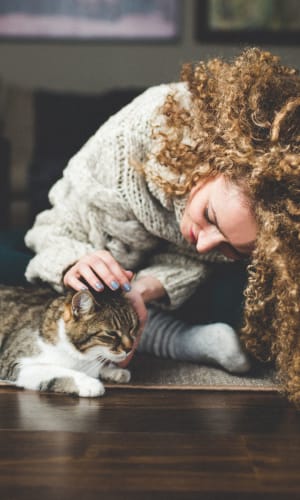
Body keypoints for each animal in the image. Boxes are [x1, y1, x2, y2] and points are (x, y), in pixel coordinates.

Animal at [0, 286, 139, 398]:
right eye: (111, 333)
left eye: (132, 328)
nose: (129, 348)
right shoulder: (12, 364)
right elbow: (56, 370)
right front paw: (88, 383)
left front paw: (113, 370)